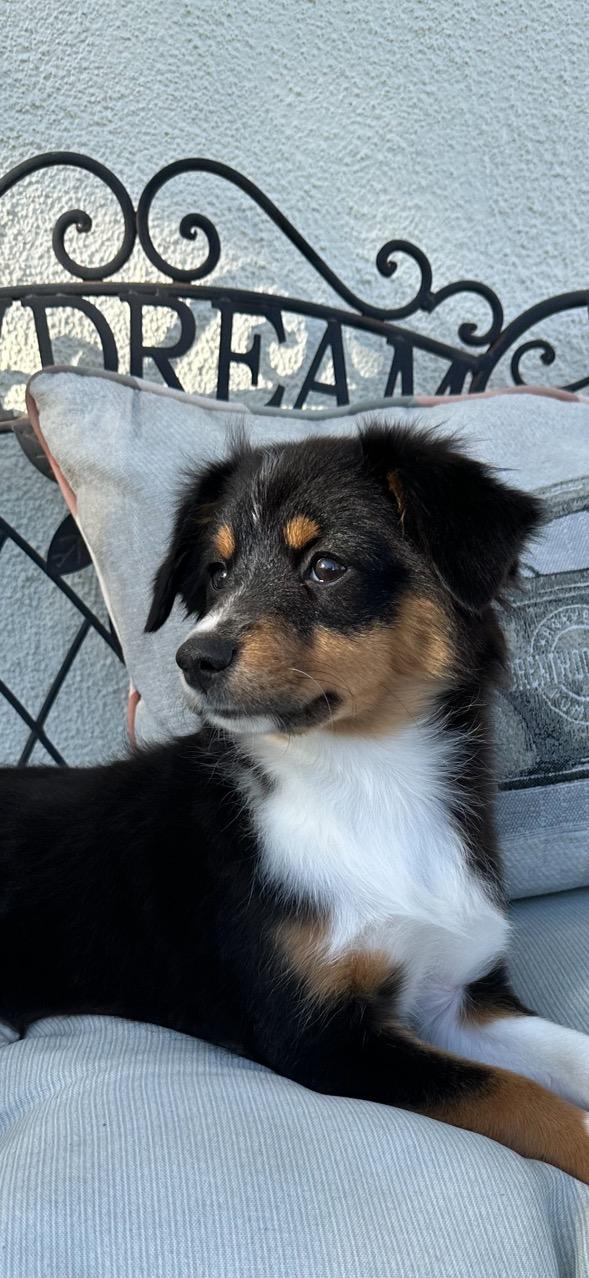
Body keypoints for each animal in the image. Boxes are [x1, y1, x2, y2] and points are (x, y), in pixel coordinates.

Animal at [2, 423, 589, 1183]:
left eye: (326, 566)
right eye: (217, 573)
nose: (194, 659)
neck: (370, 780)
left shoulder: (456, 995)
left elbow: (562, 1056)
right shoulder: (321, 1037)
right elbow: (515, 1095)